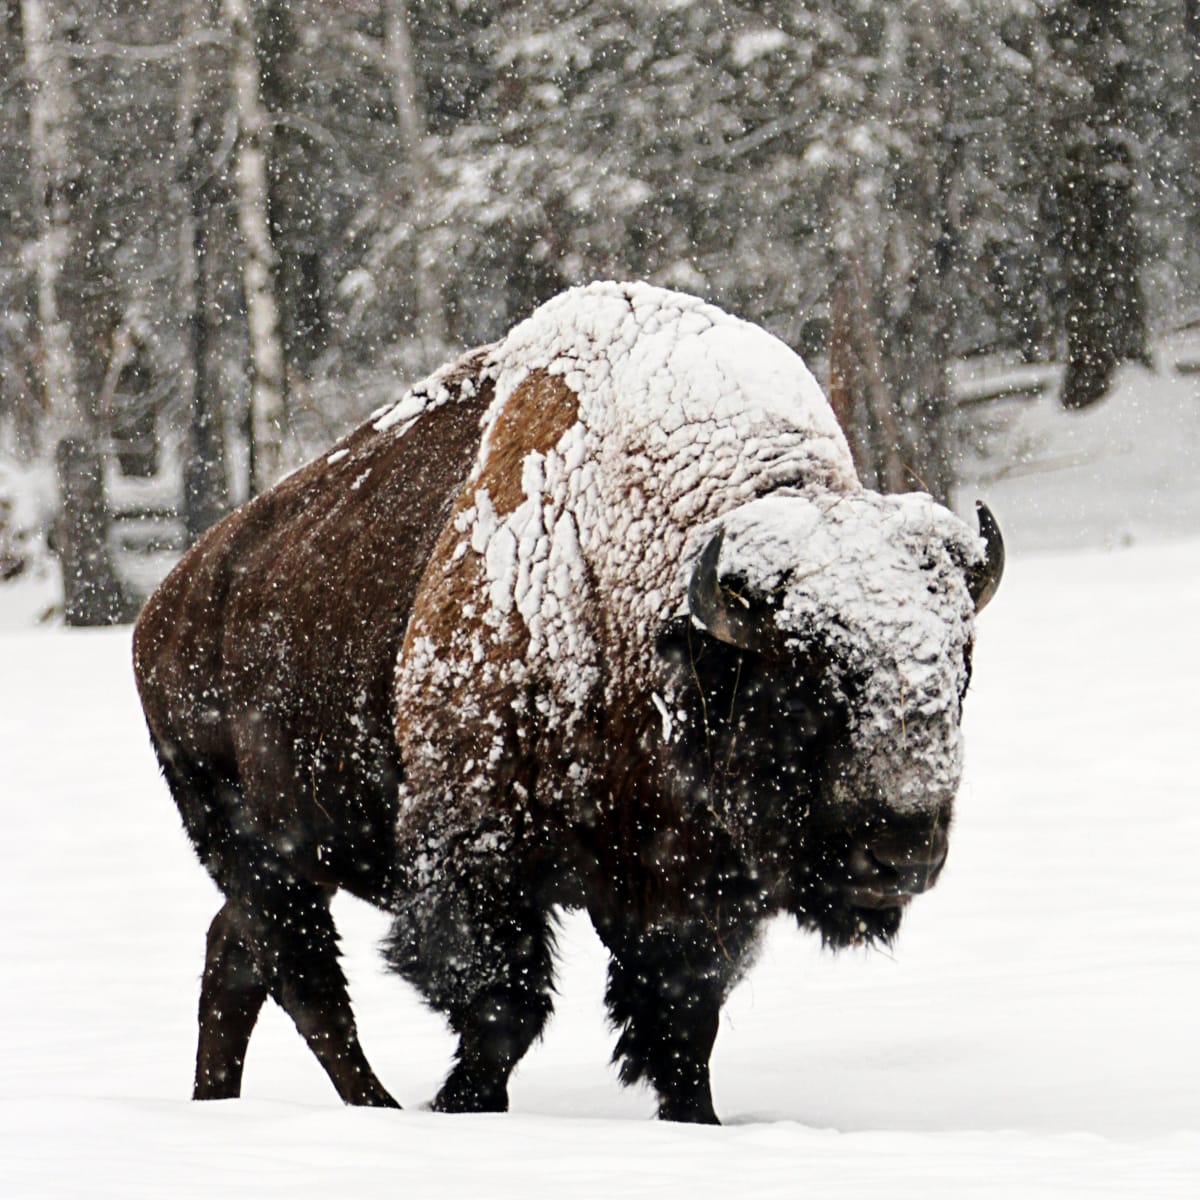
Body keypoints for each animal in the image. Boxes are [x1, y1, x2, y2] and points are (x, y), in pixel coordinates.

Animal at [134, 282, 1002, 1123]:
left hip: (284, 863)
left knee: (241, 958)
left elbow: (681, 1026)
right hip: (256, 852)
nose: (903, 850)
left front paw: (699, 1123)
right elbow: (503, 1010)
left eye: (959, 669)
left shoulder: (688, 896)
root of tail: (162, 611)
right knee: (305, 982)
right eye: (803, 680)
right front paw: (462, 1107)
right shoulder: (483, 861)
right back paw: (372, 1110)